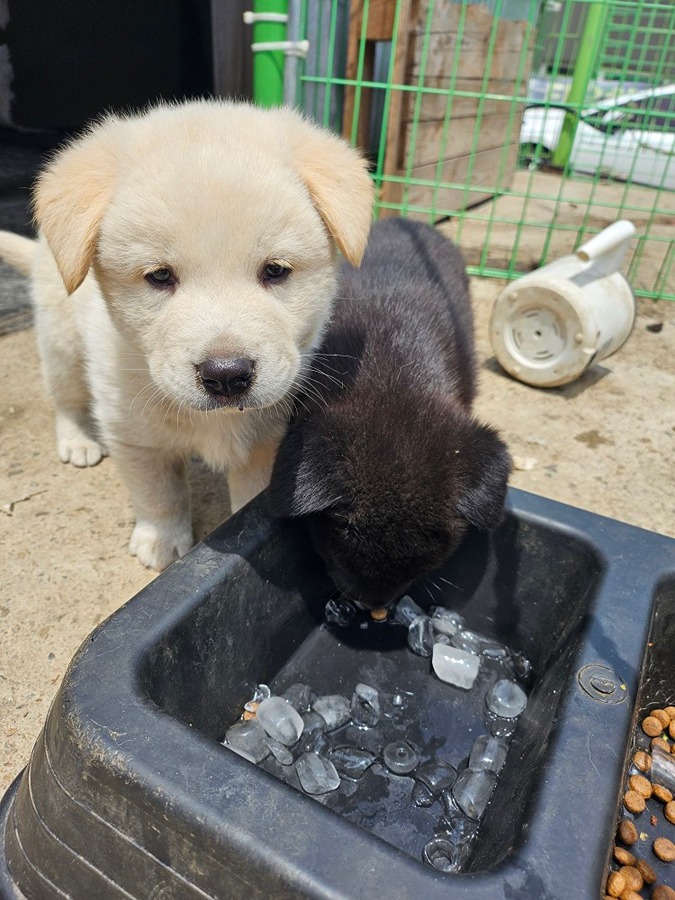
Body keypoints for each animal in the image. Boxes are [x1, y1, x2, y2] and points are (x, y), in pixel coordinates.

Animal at [0, 100, 372, 568]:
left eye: (275, 271)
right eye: (159, 276)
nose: (226, 375)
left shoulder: (266, 439)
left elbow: (248, 501)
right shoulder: (134, 434)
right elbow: (158, 494)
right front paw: (160, 540)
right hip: (61, 341)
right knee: (65, 398)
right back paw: (77, 441)